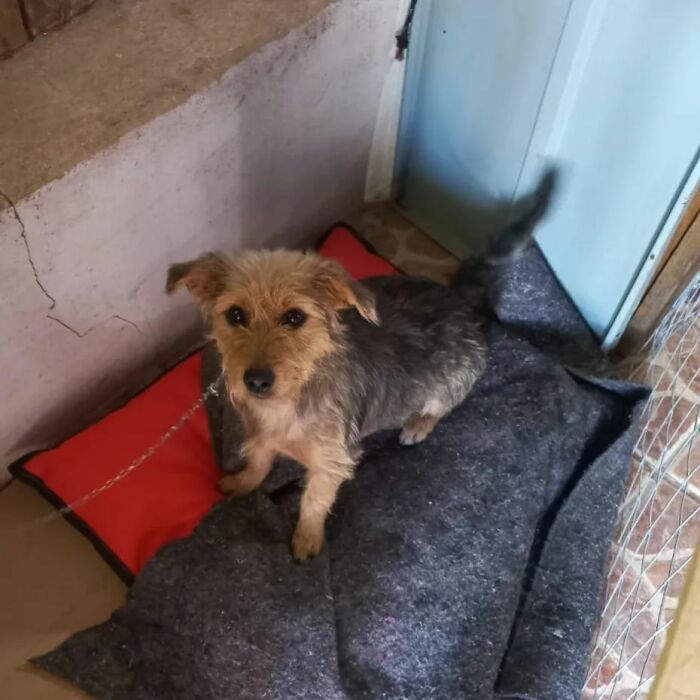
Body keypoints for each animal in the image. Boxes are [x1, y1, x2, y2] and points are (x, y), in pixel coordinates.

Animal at [167, 168, 556, 556]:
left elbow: (314, 501)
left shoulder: (332, 463)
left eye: (295, 317)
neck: (294, 397)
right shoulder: (261, 437)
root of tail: (456, 297)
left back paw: (418, 424)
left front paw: (307, 539)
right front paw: (243, 483)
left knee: (443, 405)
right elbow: (258, 463)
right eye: (235, 315)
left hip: (454, 377)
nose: (256, 380)